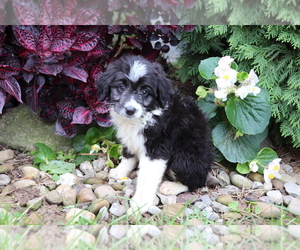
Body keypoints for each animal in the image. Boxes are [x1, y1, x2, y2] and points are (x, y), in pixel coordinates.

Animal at [97, 54, 214, 213]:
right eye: (121, 87)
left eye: (145, 92)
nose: (130, 110)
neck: (147, 115)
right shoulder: (131, 138)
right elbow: (128, 155)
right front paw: (120, 171)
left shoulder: (157, 149)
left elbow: (147, 177)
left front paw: (141, 202)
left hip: (185, 158)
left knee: (196, 181)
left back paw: (171, 187)